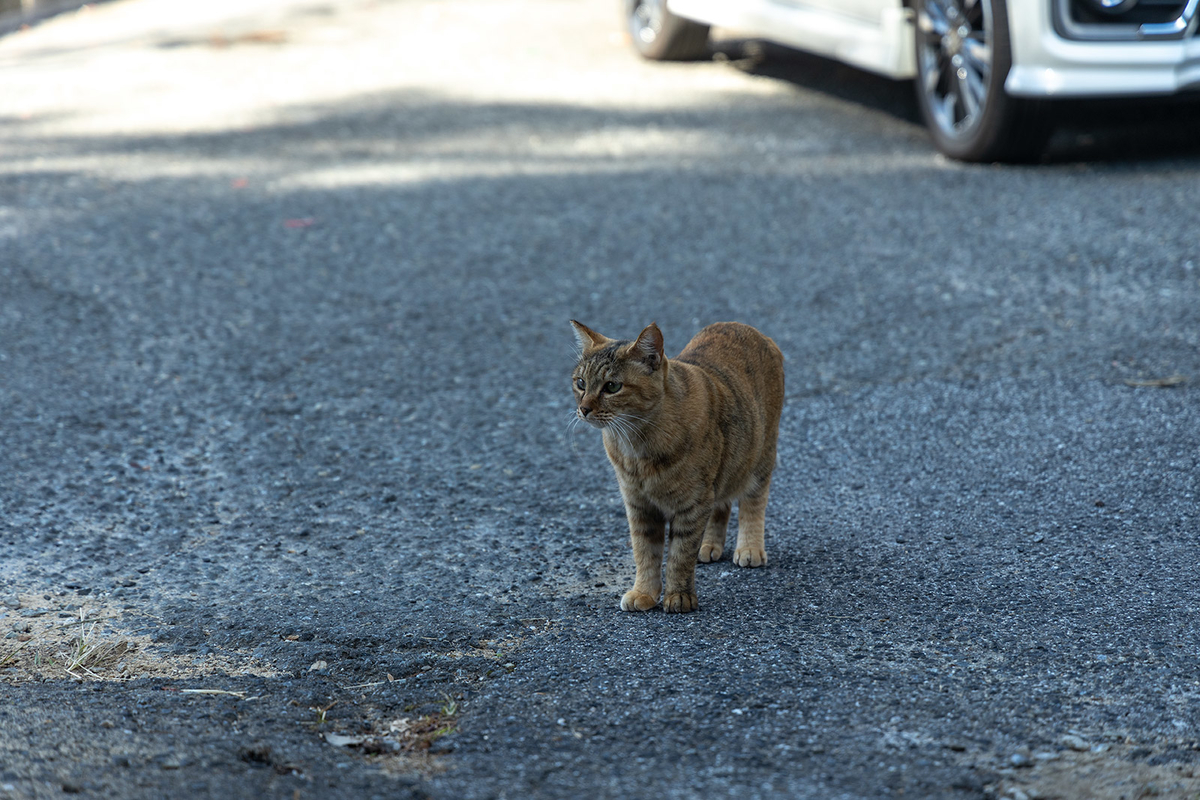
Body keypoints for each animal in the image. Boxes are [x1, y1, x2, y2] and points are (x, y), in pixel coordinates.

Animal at [571, 319, 787, 614]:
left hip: (759, 459)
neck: (636, 445)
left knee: (753, 504)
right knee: (721, 505)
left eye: (612, 386)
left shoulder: (692, 504)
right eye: (581, 383)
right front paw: (644, 593)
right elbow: (645, 552)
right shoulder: (639, 505)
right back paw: (709, 545)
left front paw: (679, 596)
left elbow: (680, 555)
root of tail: (740, 325)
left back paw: (750, 548)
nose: (584, 409)